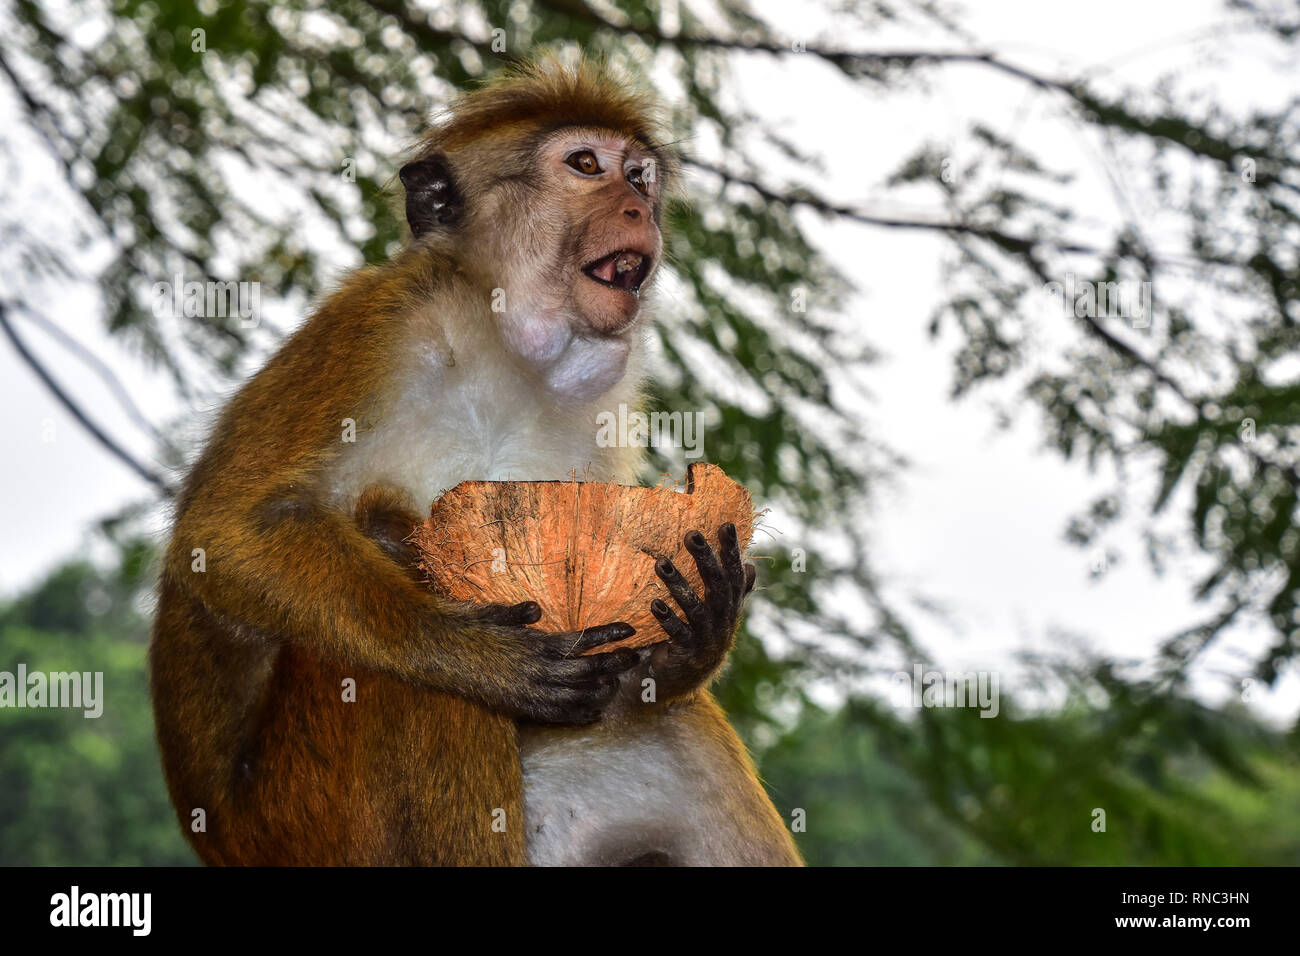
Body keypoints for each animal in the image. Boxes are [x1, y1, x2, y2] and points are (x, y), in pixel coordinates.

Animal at [152, 55, 800, 868]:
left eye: (639, 176)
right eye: (585, 165)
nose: (638, 211)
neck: (499, 345)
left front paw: (695, 637)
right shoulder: (377, 321)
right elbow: (227, 532)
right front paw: (475, 650)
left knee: (671, 727)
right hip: (305, 819)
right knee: (403, 658)